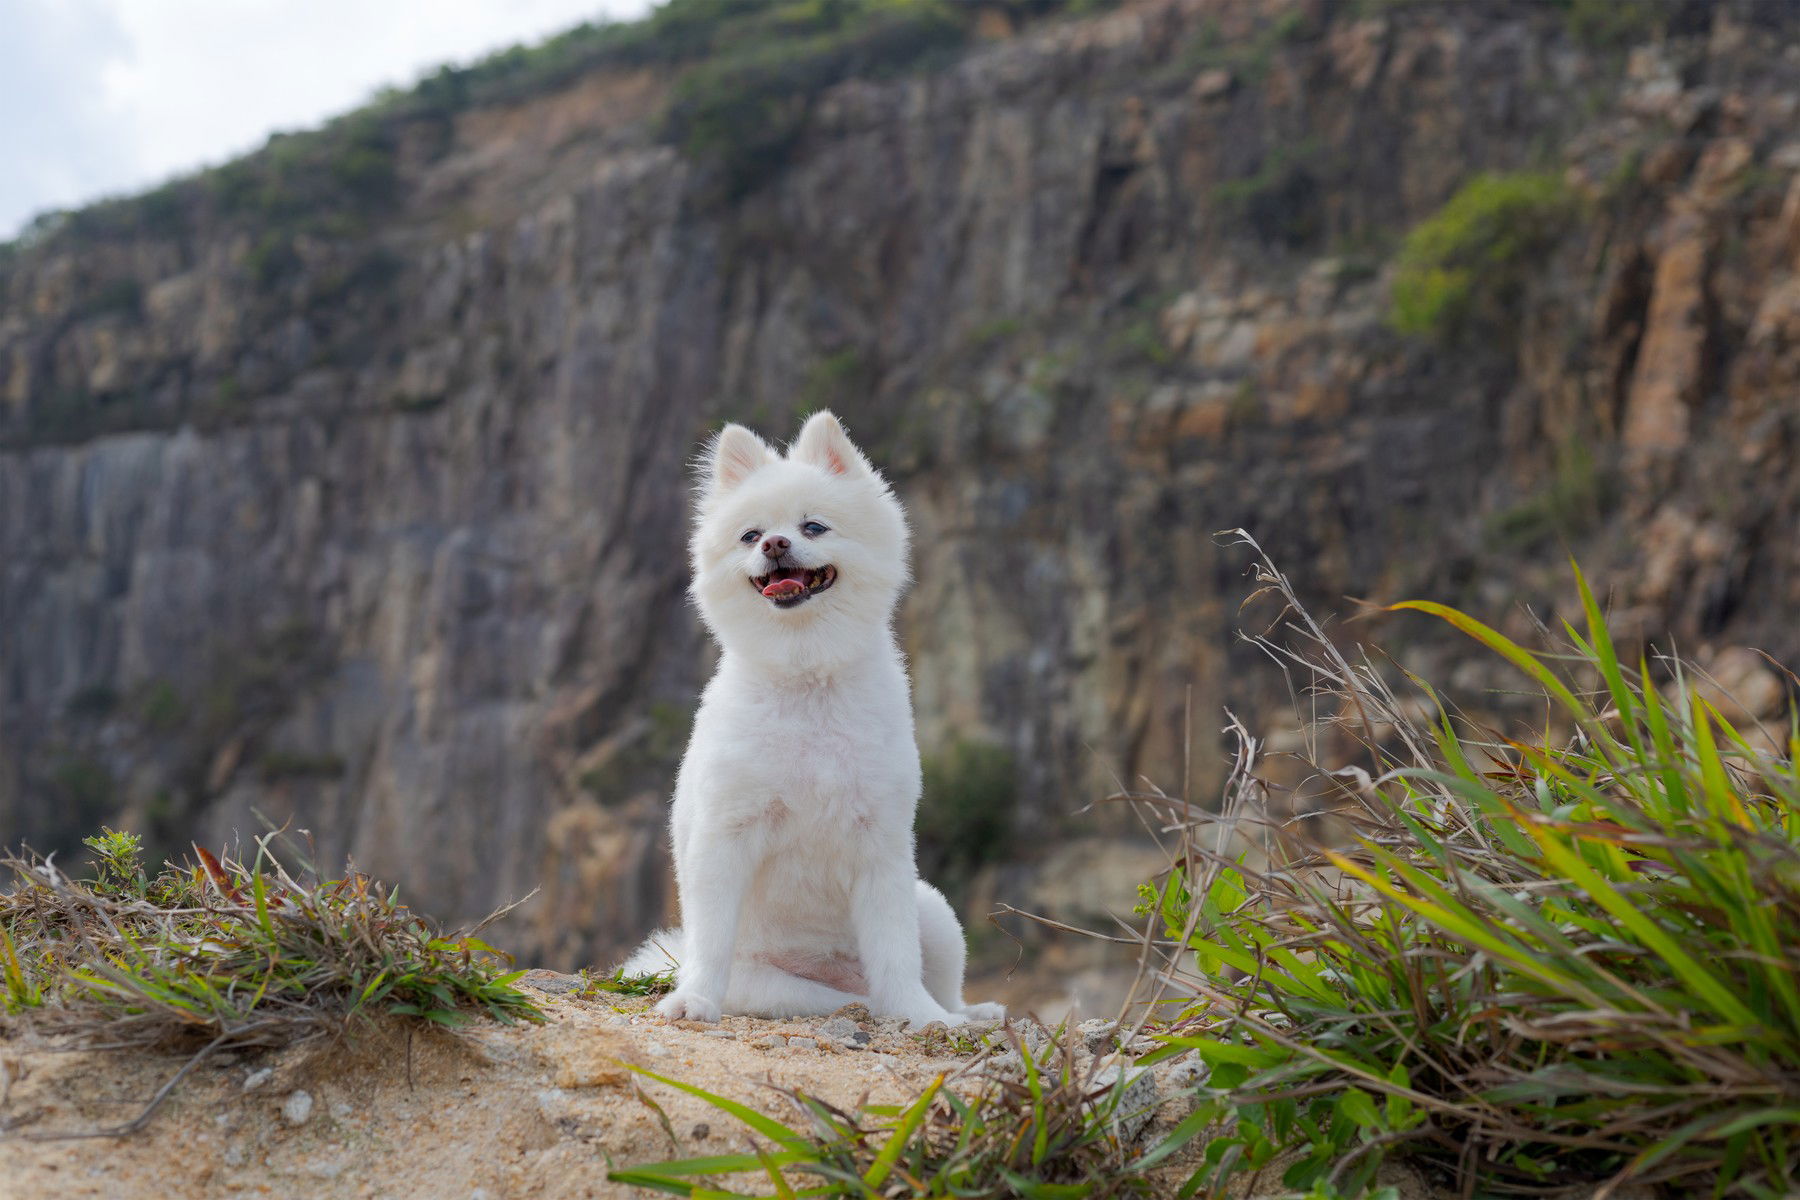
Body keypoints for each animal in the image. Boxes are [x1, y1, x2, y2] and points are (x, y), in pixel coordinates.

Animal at [622, 413, 1008, 1036]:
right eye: (750, 535)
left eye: (814, 526)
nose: (776, 543)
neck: (807, 681)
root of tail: (840, 982)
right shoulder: (726, 834)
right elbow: (711, 939)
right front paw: (694, 1000)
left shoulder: (881, 845)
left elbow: (896, 950)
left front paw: (921, 1017)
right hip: (772, 986)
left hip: (935, 912)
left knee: (937, 982)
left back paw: (964, 1014)